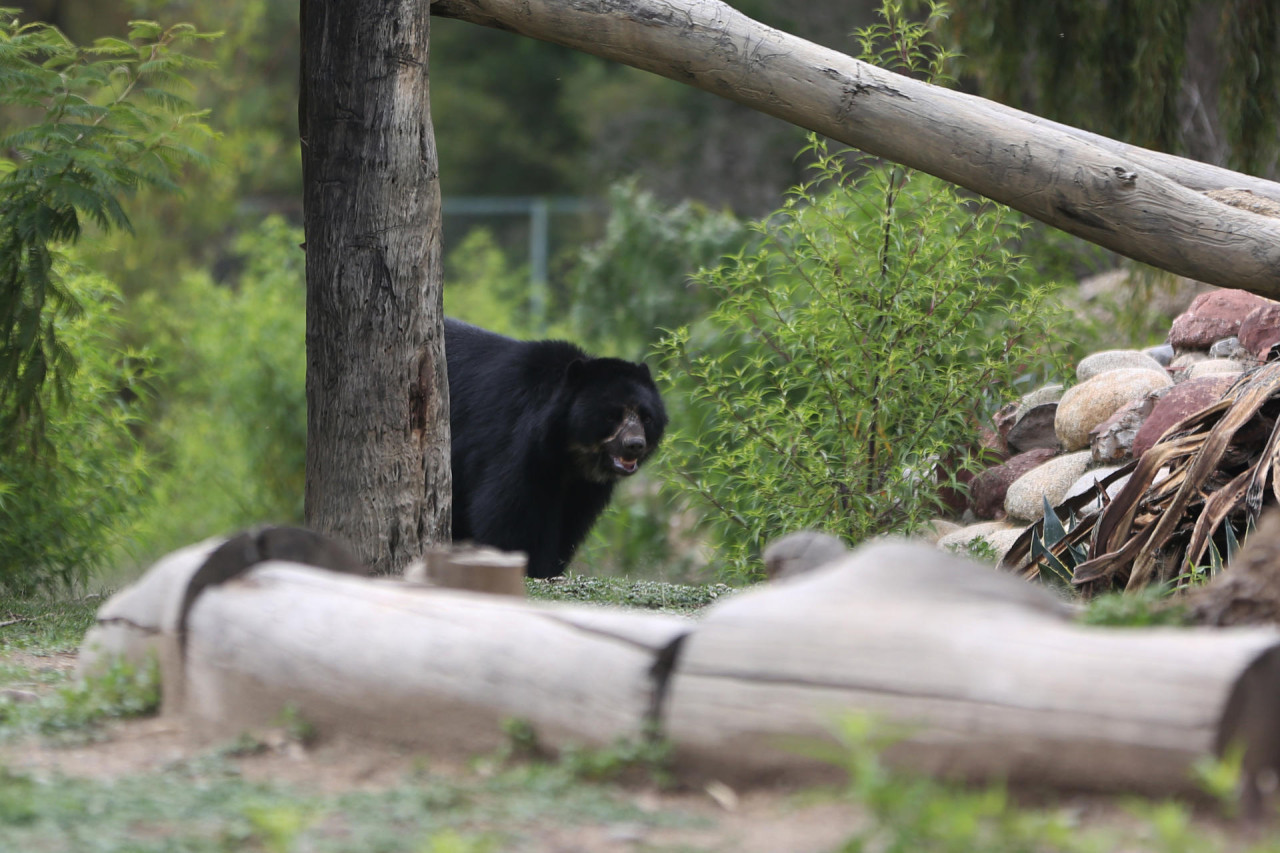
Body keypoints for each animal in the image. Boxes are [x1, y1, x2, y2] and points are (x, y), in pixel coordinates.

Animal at [442, 318, 665, 578]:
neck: (566, 451)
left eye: (646, 417)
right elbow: (508, 515)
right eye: (612, 416)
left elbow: (570, 524)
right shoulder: (513, 446)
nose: (635, 445)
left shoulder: (584, 486)